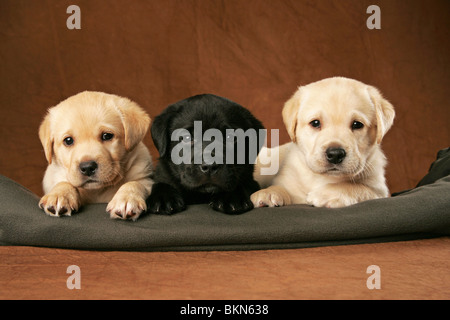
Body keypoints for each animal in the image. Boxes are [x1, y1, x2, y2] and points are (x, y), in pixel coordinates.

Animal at [38, 90, 153, 220]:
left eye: (107, 136)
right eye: (68, 140)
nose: (87, 167)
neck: (96, 191)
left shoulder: (145, 178)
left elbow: (135, 183)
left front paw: (127, 198)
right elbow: (64, 182)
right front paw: (59, 195)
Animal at [251, 77, 396, 208]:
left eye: (357, 124)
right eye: (315, 123)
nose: (335, 154)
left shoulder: (379, 190)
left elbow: (358, 188)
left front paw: (326, 194)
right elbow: (283, 188)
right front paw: (269, 193)